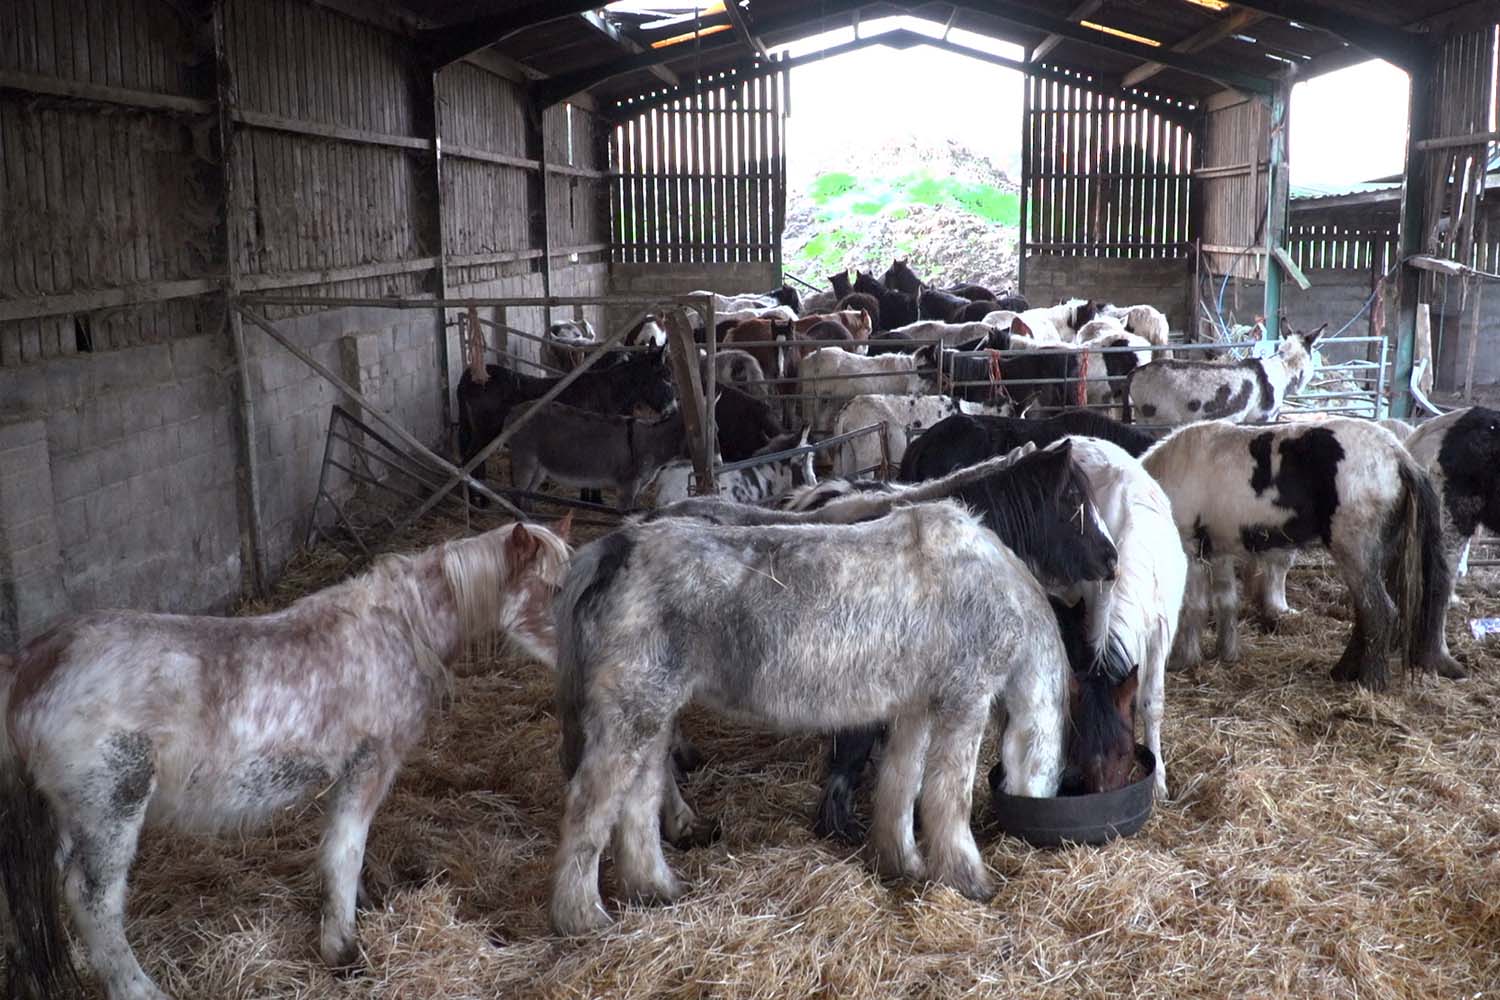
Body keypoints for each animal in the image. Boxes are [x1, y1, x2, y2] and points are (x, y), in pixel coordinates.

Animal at [0, 520, 572, 1000]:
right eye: (557, 590)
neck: (398, 631)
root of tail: (34, 662)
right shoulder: (369, 767)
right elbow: (345, 851)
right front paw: (342, 949)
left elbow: (342, 849)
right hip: (113, 807)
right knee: (92, 898)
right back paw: (139, 989)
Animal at [549, 500, 1077, 935]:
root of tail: (618, 546)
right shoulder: (964, 701)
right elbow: (950, 798)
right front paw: (969, 880)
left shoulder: (916, 708)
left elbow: (901, 783)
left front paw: (901, 863)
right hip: (633, 713)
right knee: (588, 806)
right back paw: (583, 916)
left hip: (652, 718)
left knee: (639, 804)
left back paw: (655, 890)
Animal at [1142, 418, 1456, 689]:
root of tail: (1398, 456)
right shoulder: (1220, 552)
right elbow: (1226, 602)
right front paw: (1226, 653)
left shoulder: (1191, 549)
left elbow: (1192, 607)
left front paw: (1183, 659)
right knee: (1366, 613)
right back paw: (1344, 671)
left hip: (1355, 551)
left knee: (1379, 611)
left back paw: (1370, 681)